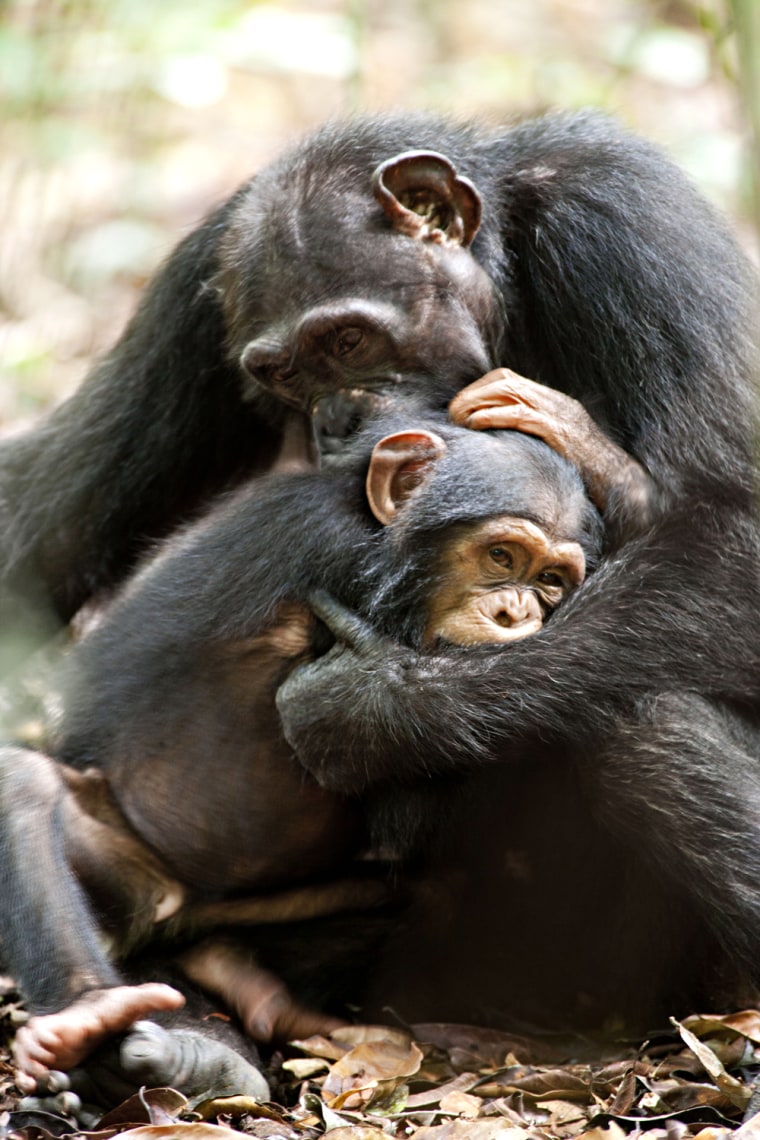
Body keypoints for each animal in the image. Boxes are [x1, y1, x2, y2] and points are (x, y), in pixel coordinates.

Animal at [2, 414, 601, 1098]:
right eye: (502, 556)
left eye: (550, 581)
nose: (515, 611)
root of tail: (177, 911)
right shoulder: (338, 560)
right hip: (125, 875)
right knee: (21, 783)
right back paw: (88, 1015)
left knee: (426, 890)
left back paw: (249, 985)